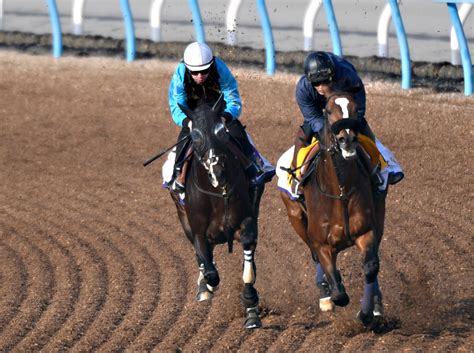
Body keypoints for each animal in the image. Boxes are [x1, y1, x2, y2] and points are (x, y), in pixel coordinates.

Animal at [171, 95, 266, 328]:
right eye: (195, 137)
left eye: (221, 132)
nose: (217, 172)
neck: (217, 193)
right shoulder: (197, 231)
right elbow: (210, 270)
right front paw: (206, 286)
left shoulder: (246, 221)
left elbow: (248, 270)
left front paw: (251, 308)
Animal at [282, 91, 386, 324]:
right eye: (328, 111)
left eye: (355, 108)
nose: (347, 139)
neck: (340, 191)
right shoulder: (321, 243)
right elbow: (339, 293)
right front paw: (331, 294)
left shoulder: (366, 231)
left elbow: (371, 267)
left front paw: (366, 312)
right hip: (296, 218)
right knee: (314, 257)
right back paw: (325, 295)